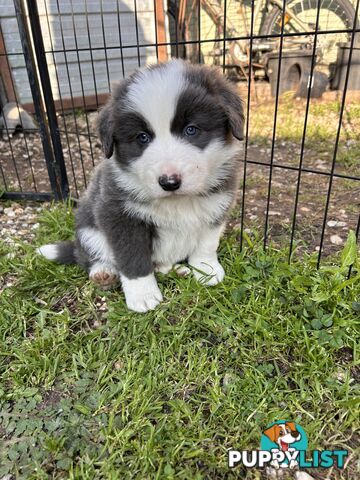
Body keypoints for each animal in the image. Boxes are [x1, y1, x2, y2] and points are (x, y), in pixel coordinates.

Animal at [37, 60, 245, 314]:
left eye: (191, 130)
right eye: (142, 137)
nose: (169, 182)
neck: (176, 202)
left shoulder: (218, 203)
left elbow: (207, 242)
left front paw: (206, 269)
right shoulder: (119, 216)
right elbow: (132, 256)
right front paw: (143, 294)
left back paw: (176, 269)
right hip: (88, 230)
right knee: (89, 256)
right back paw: (103, 273)